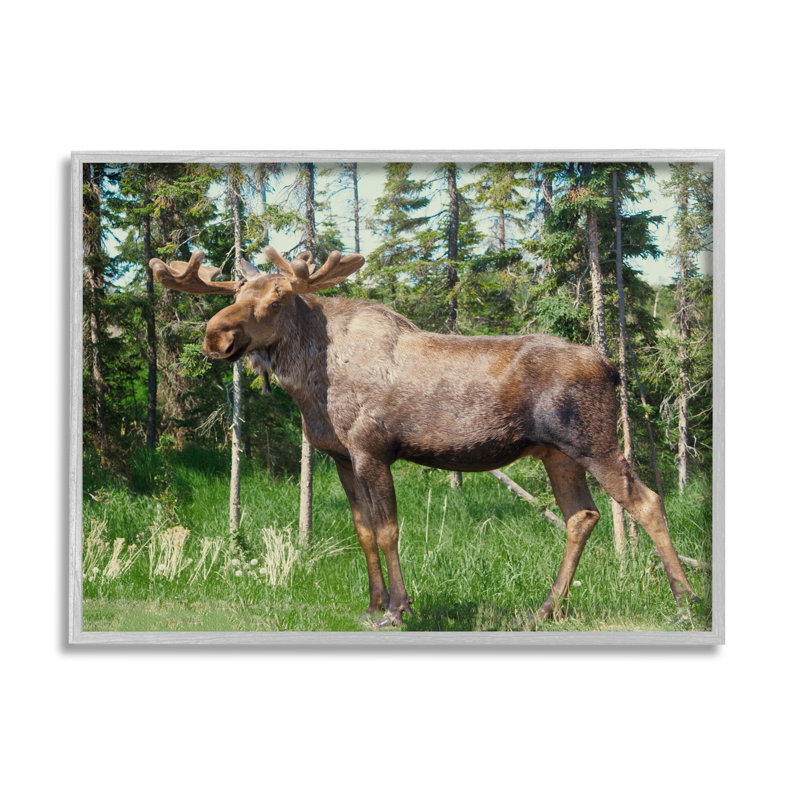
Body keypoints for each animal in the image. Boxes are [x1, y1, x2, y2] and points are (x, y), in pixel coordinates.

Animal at [149, 245, 700, 629]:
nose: (215, 335)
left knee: (647, 502)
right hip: (555, 453)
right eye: (235, 295)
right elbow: (362, 531)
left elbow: (388, 530)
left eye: (279, 296)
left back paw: (685, 601)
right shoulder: (340, 457)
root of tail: (612, 368)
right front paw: (371, 604)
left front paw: (398, 609)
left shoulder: (372, 450)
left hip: (593, 442)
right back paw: (546, 610)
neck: (310, 387)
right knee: (581, 516)